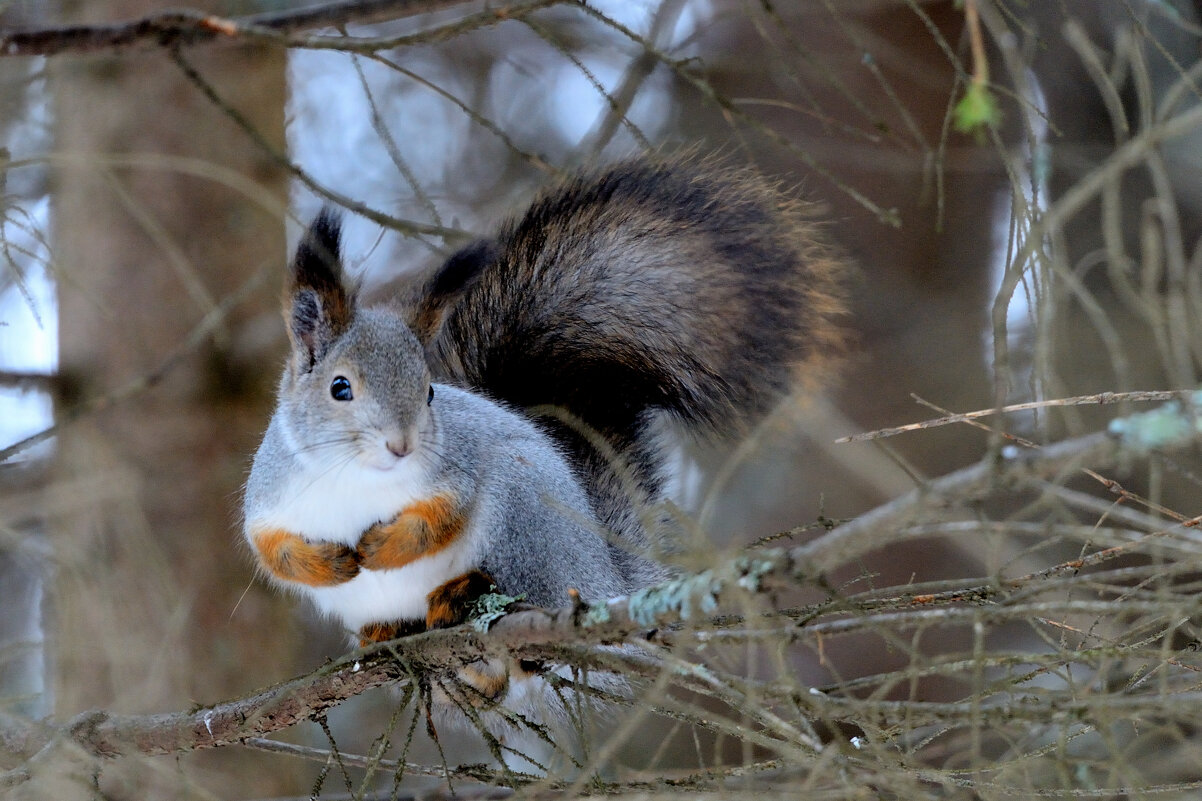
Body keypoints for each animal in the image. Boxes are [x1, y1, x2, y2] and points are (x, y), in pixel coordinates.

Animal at [241, 156, 846, 707]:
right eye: (340, 388)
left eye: (430, 390)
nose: (401, 445)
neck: (358, 477)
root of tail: (603, 582)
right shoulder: (271, 495)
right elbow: (270, 549)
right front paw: (328, 563)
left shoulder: (459, 469)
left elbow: (444, 515)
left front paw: (385, 546)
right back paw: (396, 633)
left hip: (524, 519)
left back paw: (466, 596)